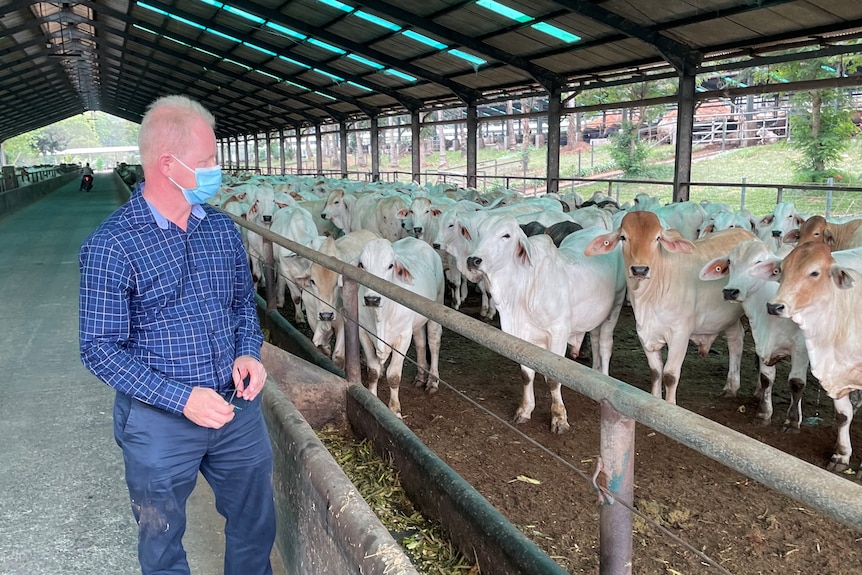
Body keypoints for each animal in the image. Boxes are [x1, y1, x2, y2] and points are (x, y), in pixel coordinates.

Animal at [354, 237, 446, 418]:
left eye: (390, 265)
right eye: (361, 264)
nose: (372, 299)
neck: (380, 316)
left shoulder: (403, 337)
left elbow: (394, 376)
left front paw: (395, 410)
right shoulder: (363, 333)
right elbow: (373, 371)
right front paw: (373, 397)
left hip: (436, 306)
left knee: (433, 342)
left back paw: (432, 381)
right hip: (416, 323)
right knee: (420, 342)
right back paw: (420, 377)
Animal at [470, 216, 624, 432]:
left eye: (506, 235)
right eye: (479, 233)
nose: (473, 260)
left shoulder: (558, 333)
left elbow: (552, 379)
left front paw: (559, 418)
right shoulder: (521, 336)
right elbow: (526, 374)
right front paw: (525, 410)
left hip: (615, 306)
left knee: (604, 345)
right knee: (593, 338)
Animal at [588, 212, 756, 404]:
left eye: (657, 238)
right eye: (623, 237)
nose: (640, 269)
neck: (649, 299)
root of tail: (748, 235)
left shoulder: (679, 335)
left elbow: (670, 375)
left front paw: (670, 405)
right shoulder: (645, 335)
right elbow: (655, 372)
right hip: (727, 318)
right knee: (736, 339)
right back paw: (731, 386)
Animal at [700, 238, 812, 432]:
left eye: (758, 262)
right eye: (730, 262)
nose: (730, 291)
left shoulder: (800, 348)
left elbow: (796, 383)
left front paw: (792, 421)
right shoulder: (761, 342)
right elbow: (766, 378)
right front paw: (763, 413)